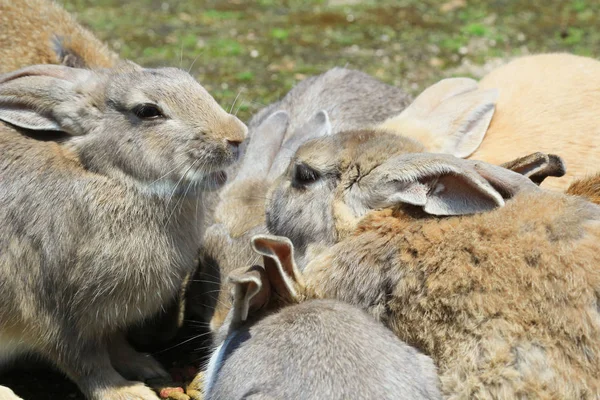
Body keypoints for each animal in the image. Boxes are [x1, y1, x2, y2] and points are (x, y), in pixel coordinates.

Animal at [0, 62, 246, 400]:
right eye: (147, 111)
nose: (238, 136)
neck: (110, 177)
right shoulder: (54, 309)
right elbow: (85, 362)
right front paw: (129, 393)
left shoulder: (106, 320)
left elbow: (115, 345)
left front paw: (145, 365)